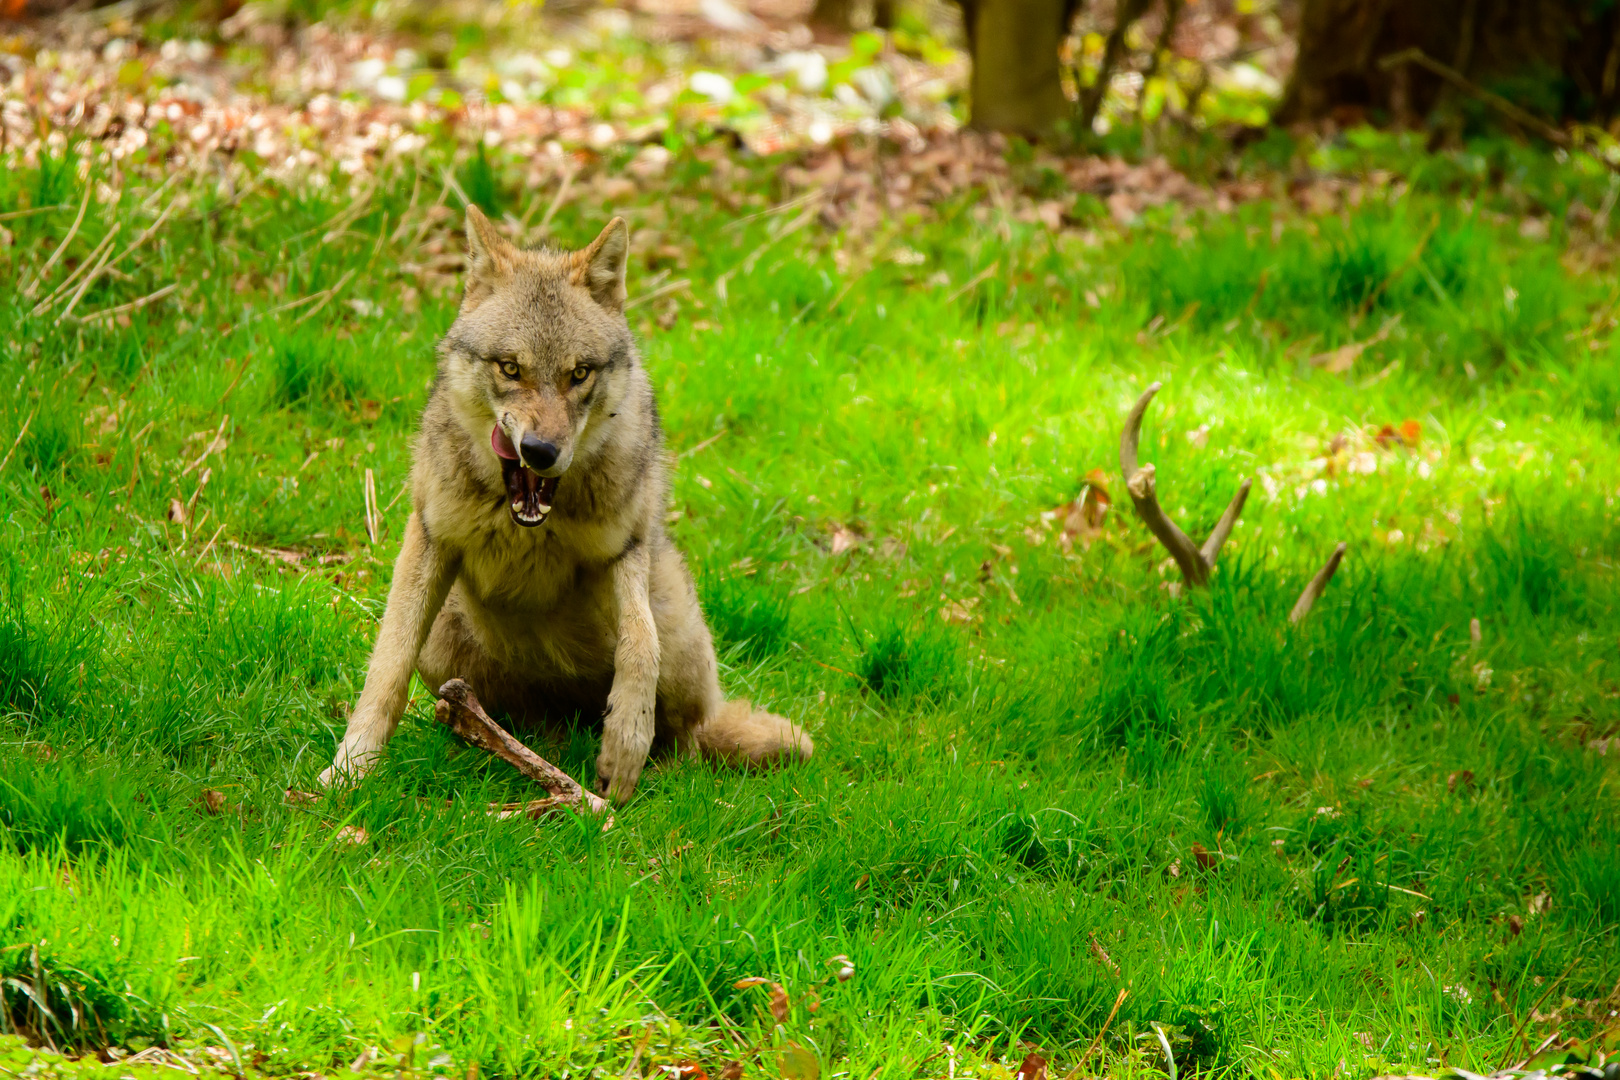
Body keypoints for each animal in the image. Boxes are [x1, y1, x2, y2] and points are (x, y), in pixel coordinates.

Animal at [320, 208, 816, 803]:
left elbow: (640, 647)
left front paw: (625, 745)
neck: (529, 525)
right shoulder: (429, 541)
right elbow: (387, 668)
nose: (540, 451)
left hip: (678, 623)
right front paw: (352, 767)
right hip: (444, 645)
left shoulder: (625, 551)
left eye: (579, 373)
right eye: (511, 369)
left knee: (691, 739)